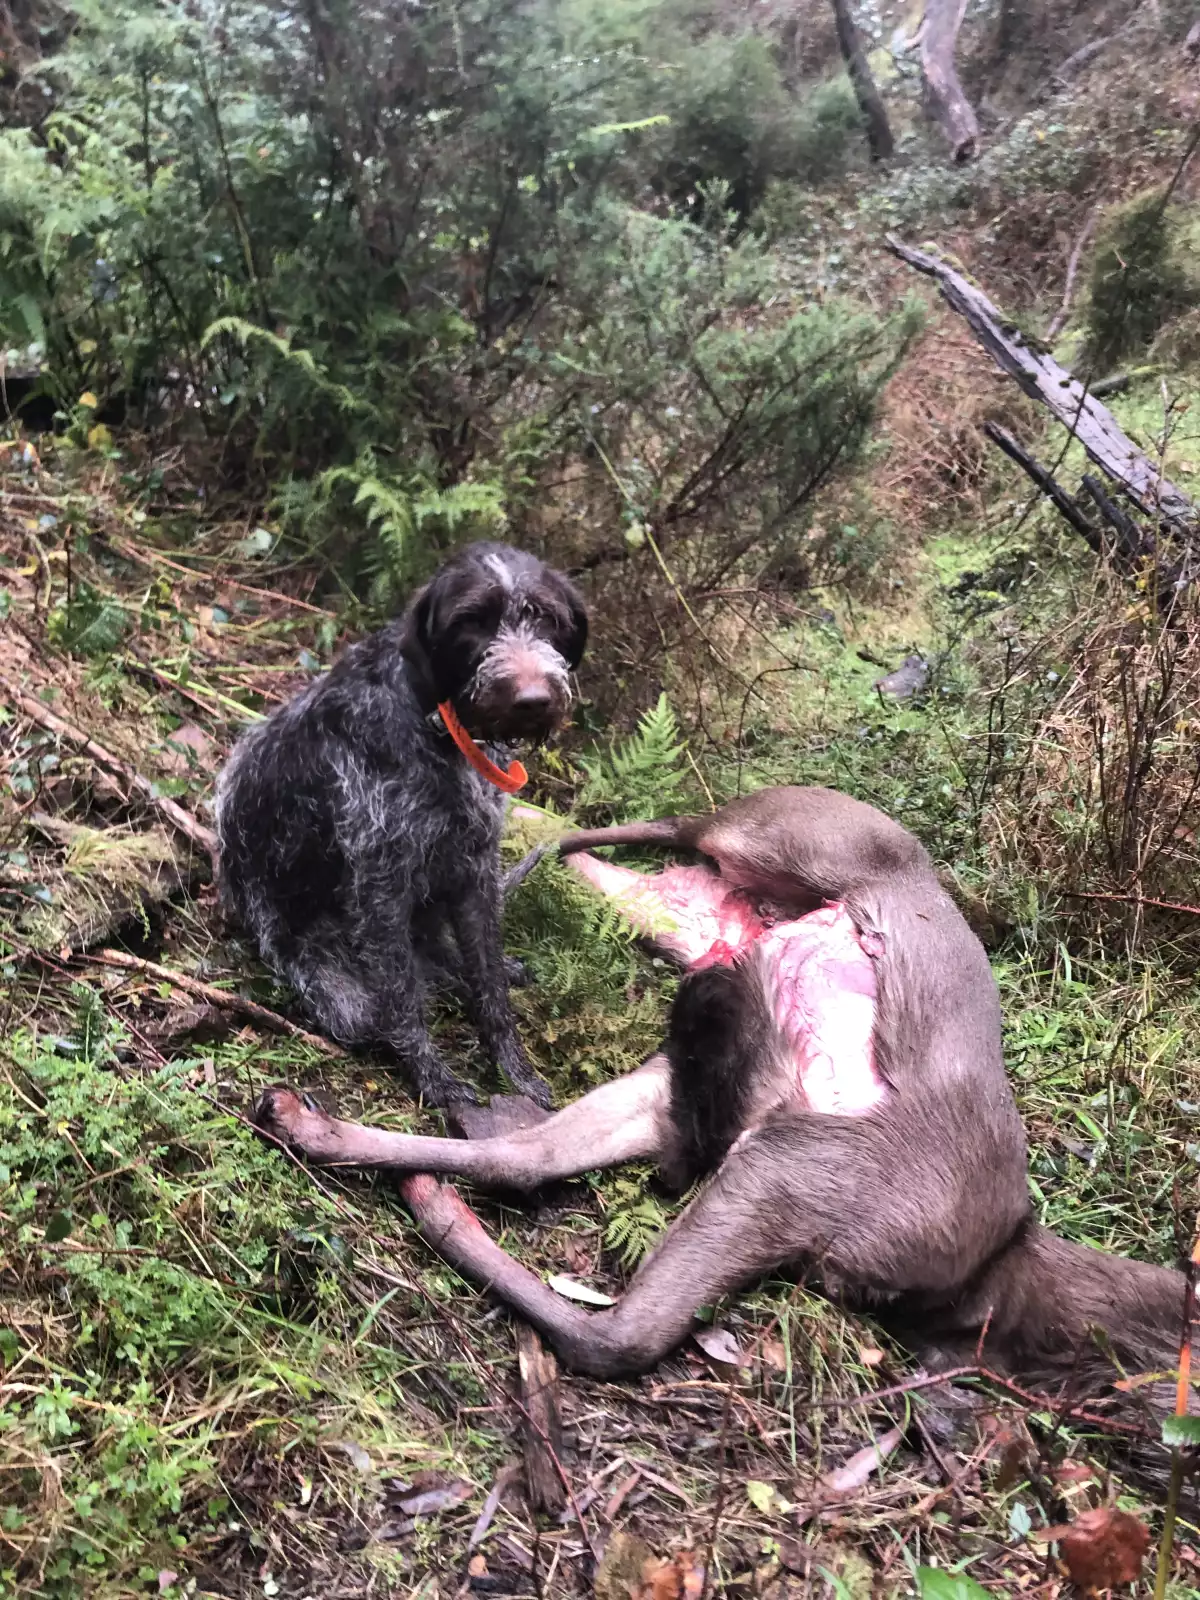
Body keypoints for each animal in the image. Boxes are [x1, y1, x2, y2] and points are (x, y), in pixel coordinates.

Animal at [216, 541, 587, 1106]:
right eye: (471, 621)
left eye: (544, 616)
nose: (532, 699)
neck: (438, 725)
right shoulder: (381, 884)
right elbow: (402, 1001)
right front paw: (433, 1077)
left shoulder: (476, 869)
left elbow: (490, 986)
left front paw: (514, 1068)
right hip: (335, 984)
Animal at [254, 784, 1189, 1443]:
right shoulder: (799, 1164)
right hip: (780, 842)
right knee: (671, 821)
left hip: (702, 996)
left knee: (538, 1158)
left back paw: (336, 1137)